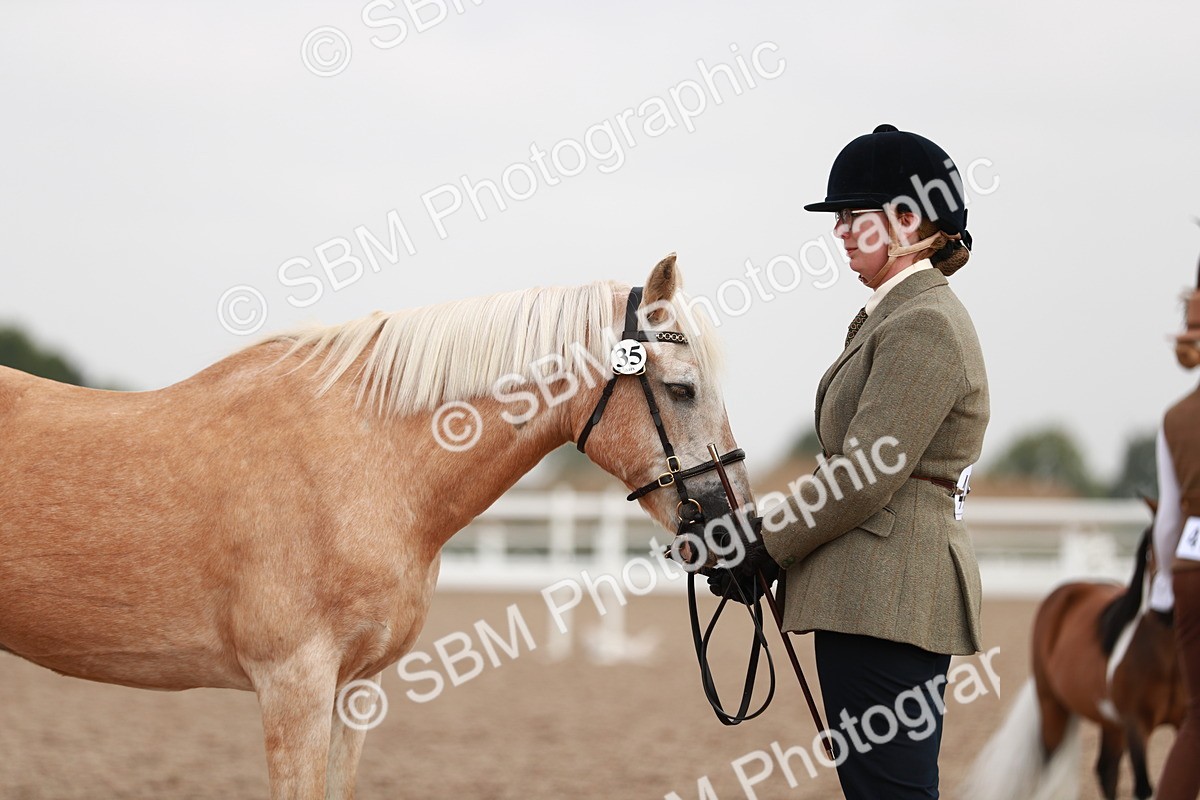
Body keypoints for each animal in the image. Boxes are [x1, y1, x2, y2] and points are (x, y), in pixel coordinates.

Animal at [961, 513, 1186, 800]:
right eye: (1151, 547)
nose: (1168, 609)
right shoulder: (1136, 725)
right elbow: (1144, 787)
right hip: (1052, 706)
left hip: (1111, 722)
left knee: (1107, 770)